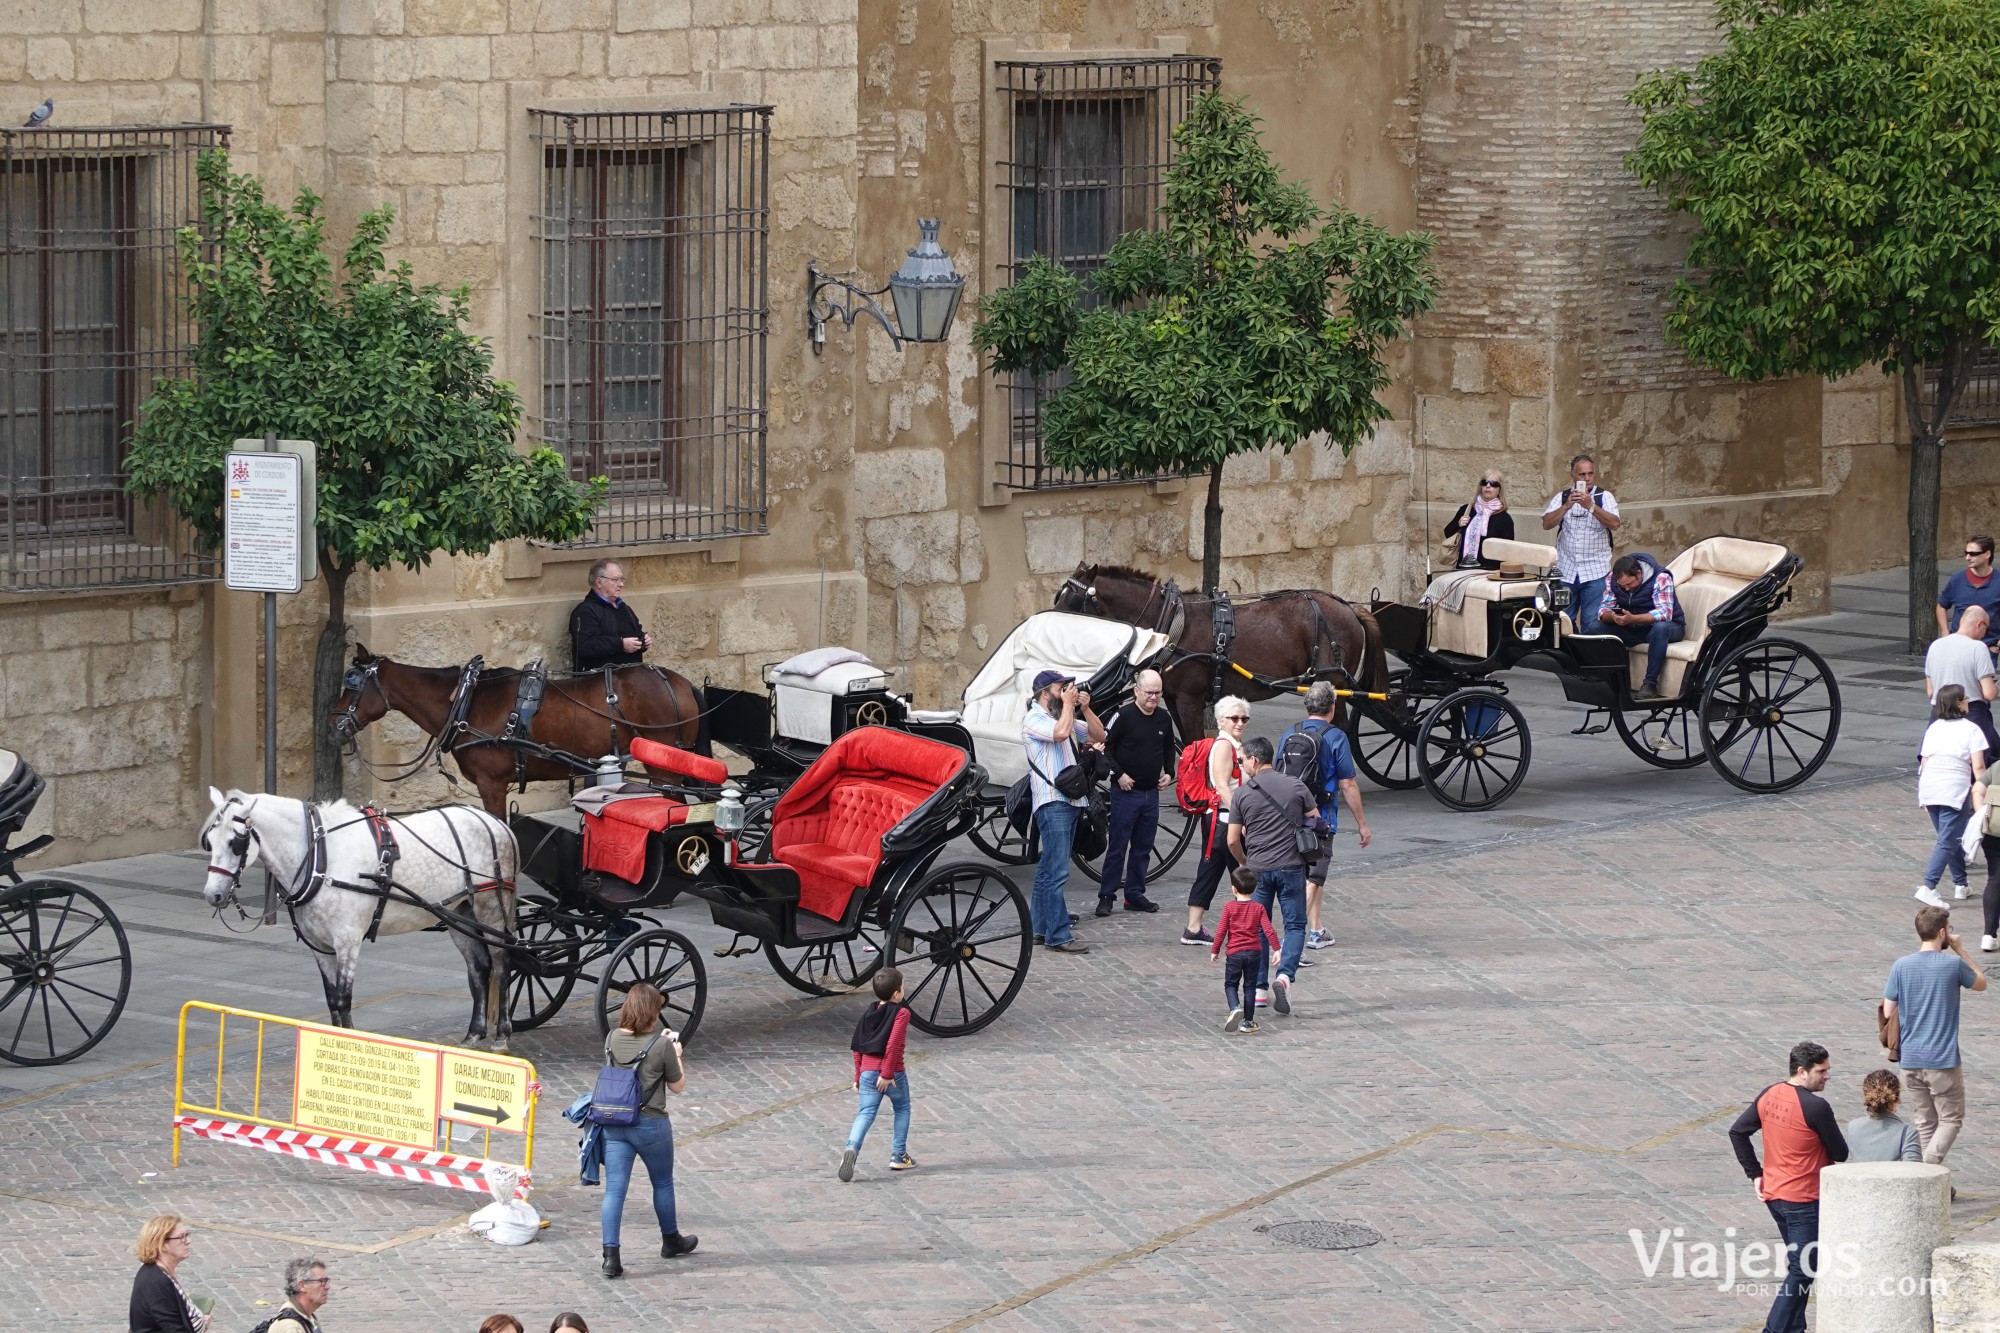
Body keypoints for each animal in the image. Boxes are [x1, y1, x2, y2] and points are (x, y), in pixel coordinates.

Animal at [324, 644, 708, 820]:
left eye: (352, 684)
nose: (332, 726)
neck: (465, 700)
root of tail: (679, 682)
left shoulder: (491, 783)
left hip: (662, 764)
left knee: (674, 806)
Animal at [1048, 560, 1392, 740]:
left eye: (1071, 602)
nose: (1047, 626)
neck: (1172, 623)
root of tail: (1349, 608)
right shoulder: (1172, 699)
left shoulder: (1189, 700)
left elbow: (1196, 741)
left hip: (1332, 682)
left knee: (1339, 727)